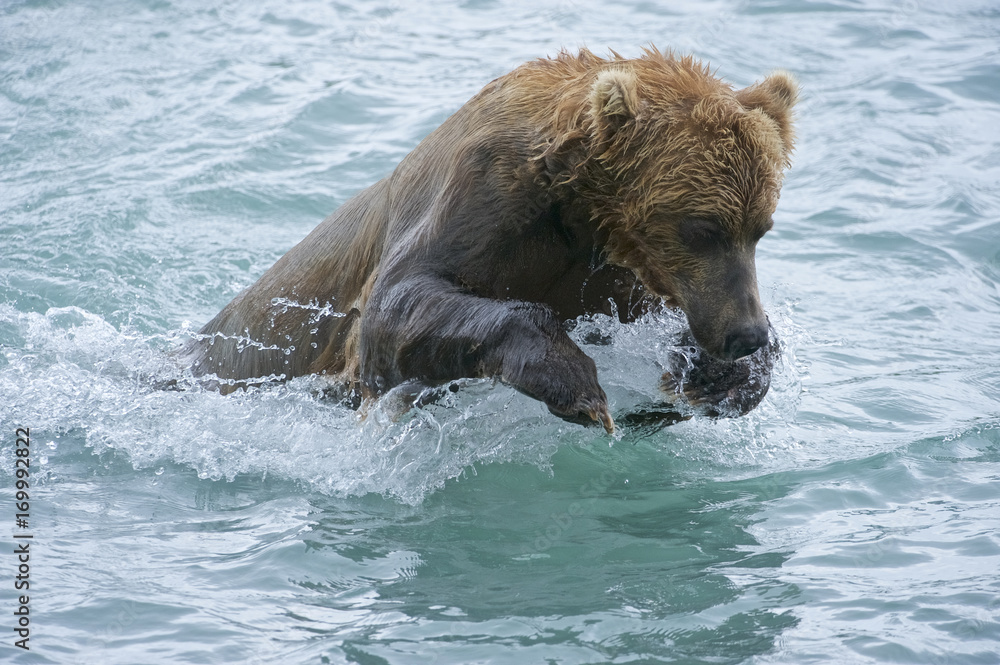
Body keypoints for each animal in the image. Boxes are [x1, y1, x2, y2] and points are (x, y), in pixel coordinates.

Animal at [183, 47, 797, 433]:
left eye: (760, 227)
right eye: (702, 228)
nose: (745, 333)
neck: (582, 209)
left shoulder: (615, 273)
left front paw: (721, 377)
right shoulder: (483, 195)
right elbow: (396, 304)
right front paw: (577, 385)